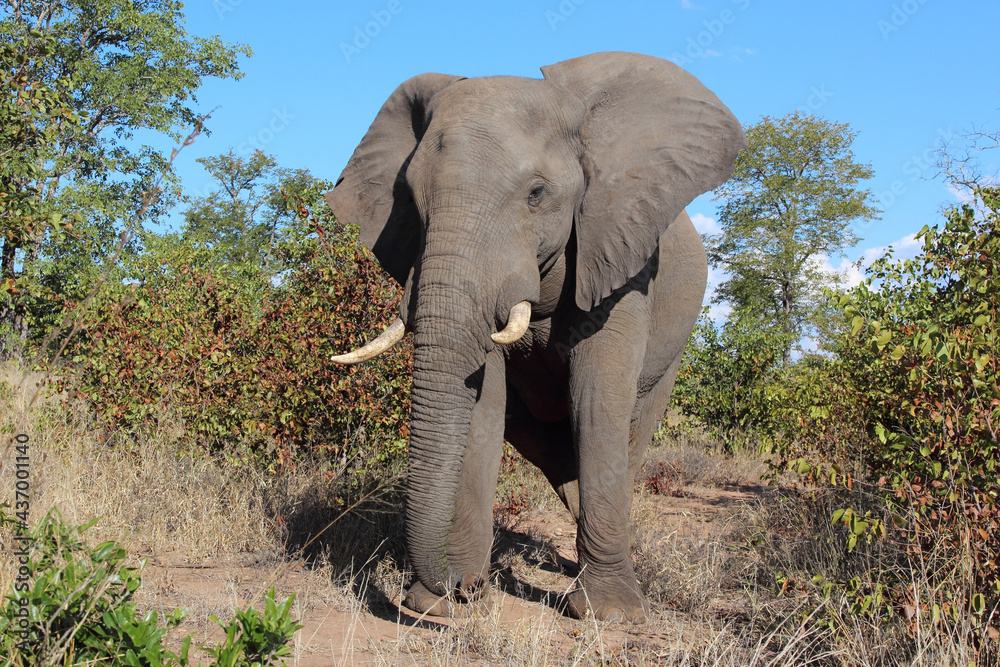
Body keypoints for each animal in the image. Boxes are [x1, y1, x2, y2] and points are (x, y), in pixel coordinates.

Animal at [325, 51, 744, 623]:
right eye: (408, 198)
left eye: (537, 194)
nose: (459, 587)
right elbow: (482, 400)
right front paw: (440, 603)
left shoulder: (620, 253)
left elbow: (597, 397)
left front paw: (610, 615)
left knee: (627, 433)